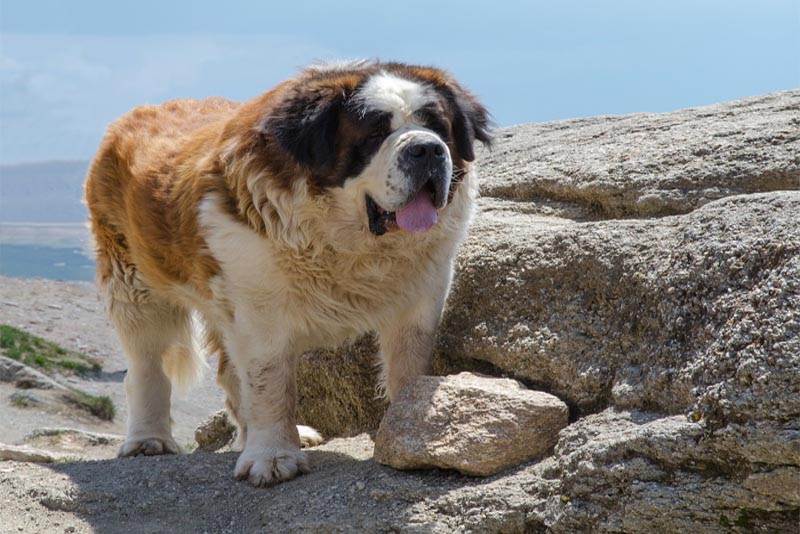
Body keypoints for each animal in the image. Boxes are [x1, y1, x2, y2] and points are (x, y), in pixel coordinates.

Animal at [84, 60, 490, 488]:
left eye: (439, 128)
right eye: (375, 133)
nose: (427, 148)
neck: (348, 242)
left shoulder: (421, 297)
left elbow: (409, 367)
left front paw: (409, 433)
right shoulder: (259, 308)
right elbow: (271, 384)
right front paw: (273, 457)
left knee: (228, 372)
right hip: (134, 283)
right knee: (147, 363)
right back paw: (149, 440)